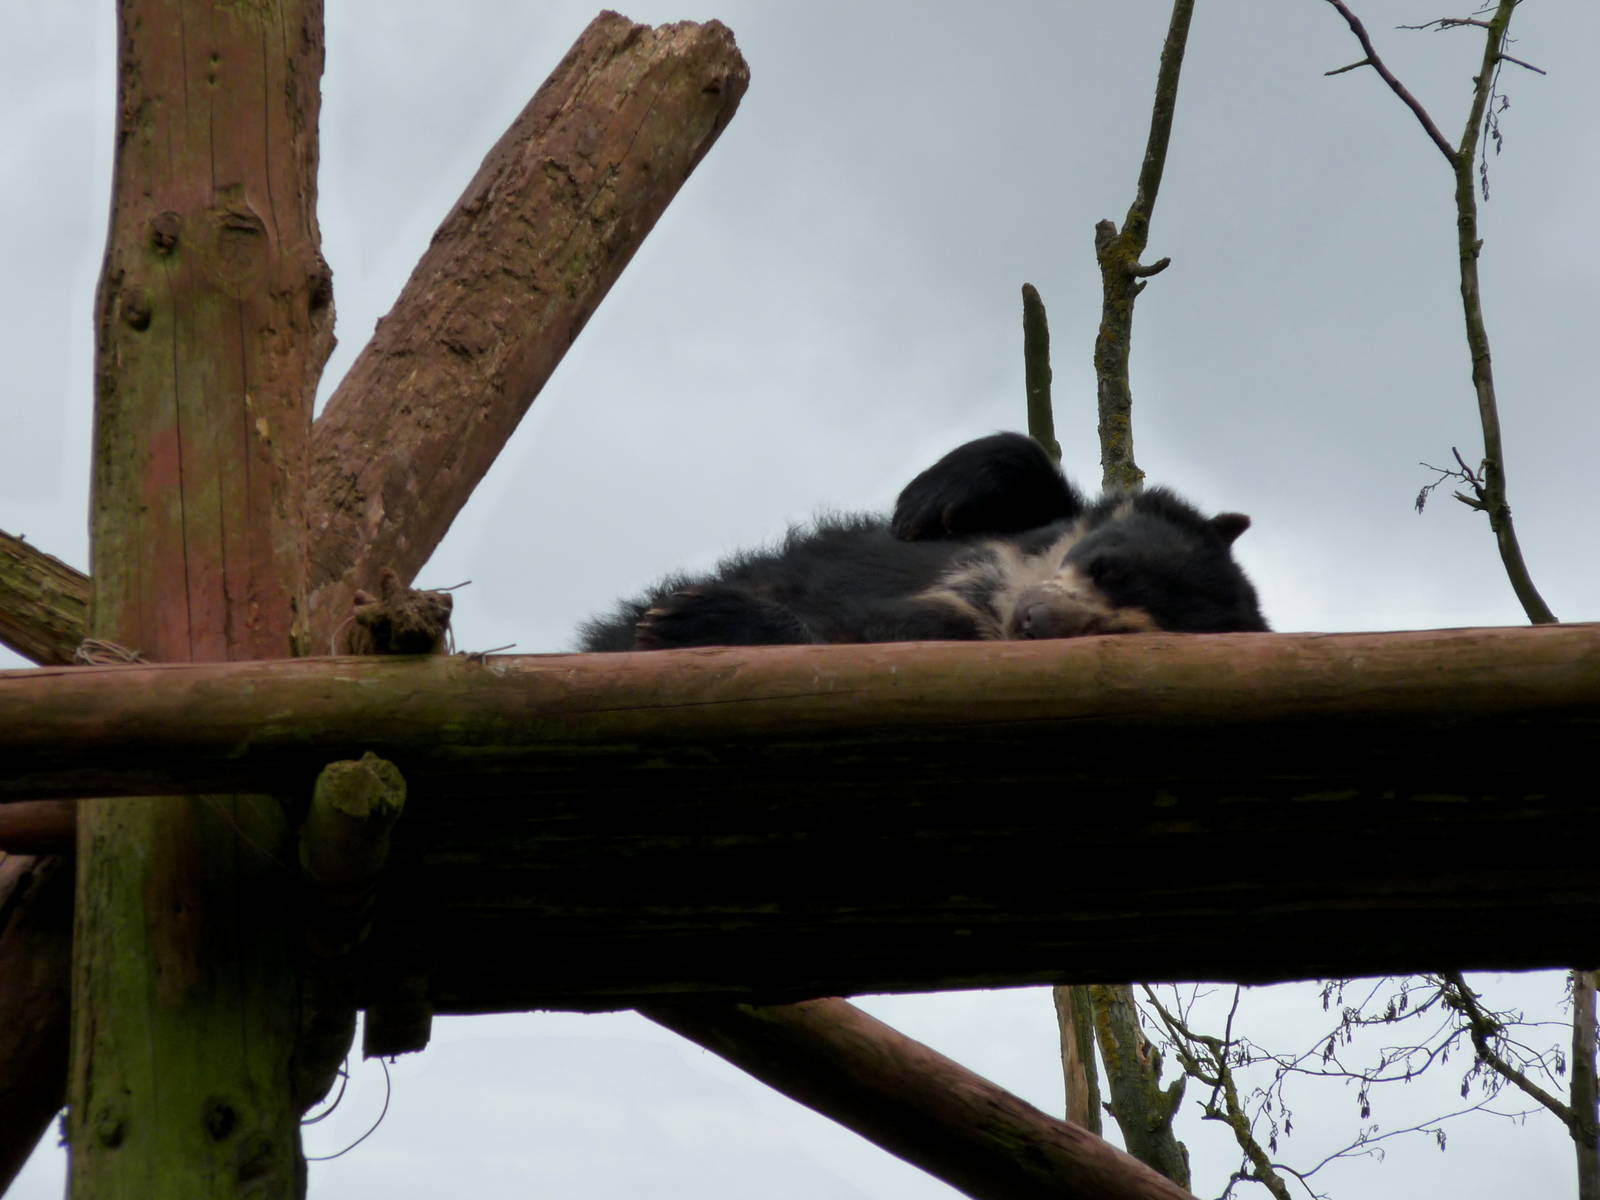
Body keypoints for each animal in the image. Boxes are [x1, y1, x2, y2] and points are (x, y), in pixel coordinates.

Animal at [577, 432, 1267, 652]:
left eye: (1119, 630)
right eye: (1105, 566)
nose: (1035, 619)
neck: (1002, 587)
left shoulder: (952, 633)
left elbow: (853, 636)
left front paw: (689, 618)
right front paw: (924, 504)